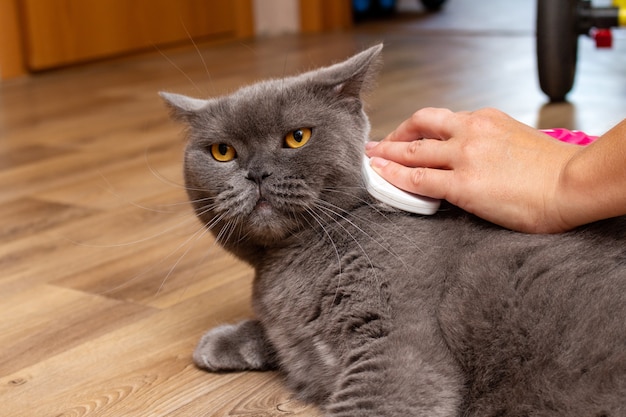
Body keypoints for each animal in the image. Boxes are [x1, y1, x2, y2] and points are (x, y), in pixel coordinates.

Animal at [162, 44, 624, 414]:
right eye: (223, 152)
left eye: (297, 137)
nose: (256, 173)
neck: (286, 265)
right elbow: (278, 337)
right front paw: (224, 341)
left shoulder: (398, 350)